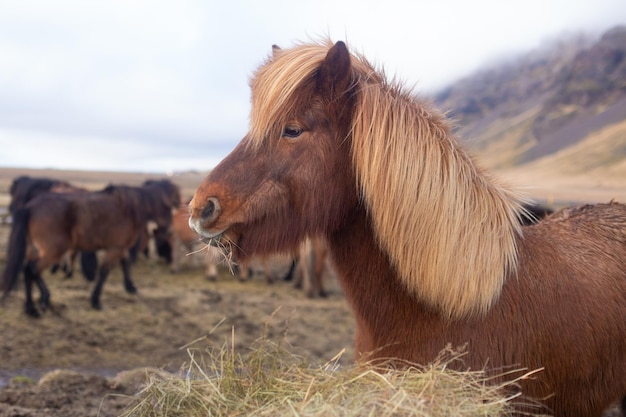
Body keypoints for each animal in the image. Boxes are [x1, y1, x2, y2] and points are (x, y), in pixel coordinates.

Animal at [0, 185, 147, 316]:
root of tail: (29, 207)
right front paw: (96, 301)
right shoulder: (115, 248)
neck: (128, 208)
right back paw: (43, 299)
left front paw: (131, 287)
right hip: (53, 251)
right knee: (32, 269)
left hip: (33, 249)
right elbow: (104, 273)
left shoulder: (120, 248)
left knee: (27, 271)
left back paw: (31, 308)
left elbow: (125, 263)